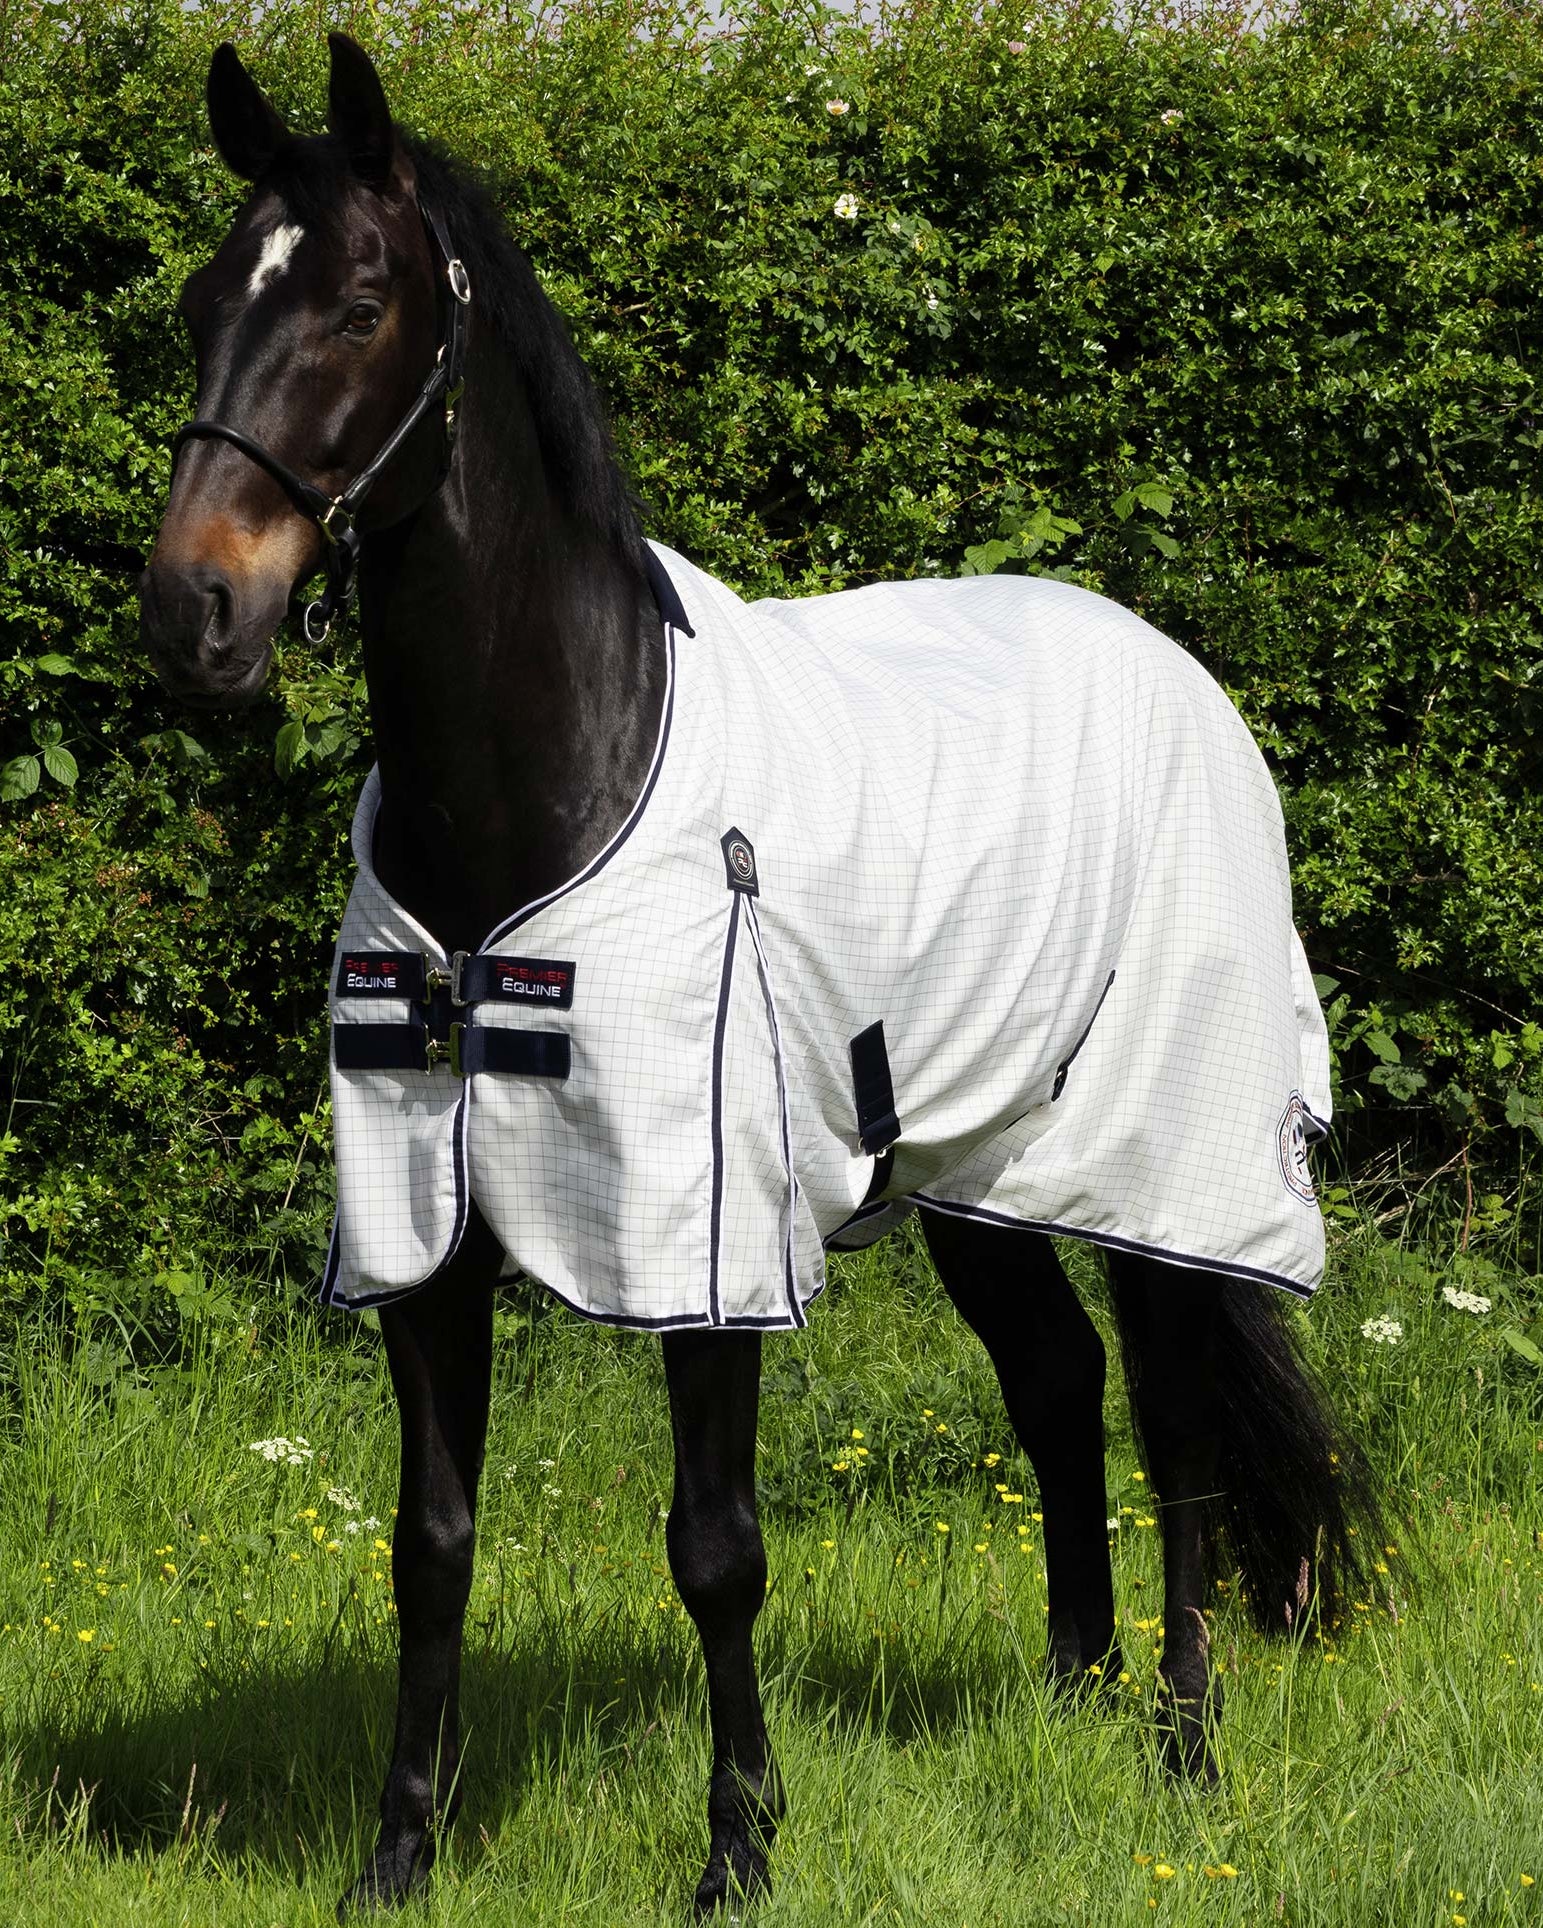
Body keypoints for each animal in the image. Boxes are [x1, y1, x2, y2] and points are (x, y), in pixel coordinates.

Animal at [139, 35, 1386, 1915]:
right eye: (206, 300)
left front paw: (734, 1846)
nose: (192, 616)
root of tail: (1173, 669)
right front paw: (398, 1851)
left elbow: (715, 1546)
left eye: (358, 306)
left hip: (1154, 1168)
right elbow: (429, 1545)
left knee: (1169, 1425)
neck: (554, 771)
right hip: (974, 1170)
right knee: (1056, 1386)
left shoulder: (700, 1232)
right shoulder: (420, 1240)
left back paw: (1178, 1747)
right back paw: (1069, 1689)